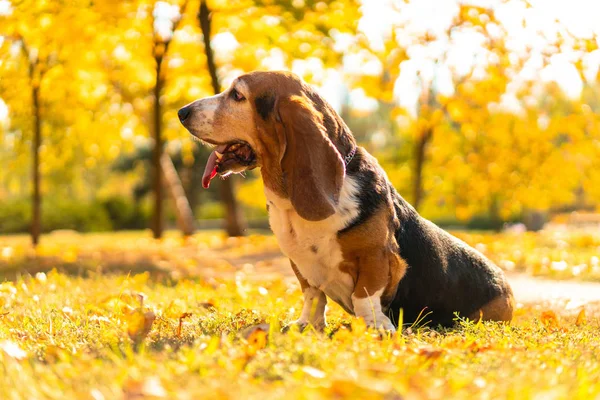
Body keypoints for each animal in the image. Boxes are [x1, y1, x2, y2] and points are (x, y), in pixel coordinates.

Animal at [177, 71, 510, 332]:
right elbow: (313, 295)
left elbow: (365, 296)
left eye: (237, 95)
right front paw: (307, 325)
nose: (181, 112)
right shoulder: (301, 265)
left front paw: (376, 327)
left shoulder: (378, 257)